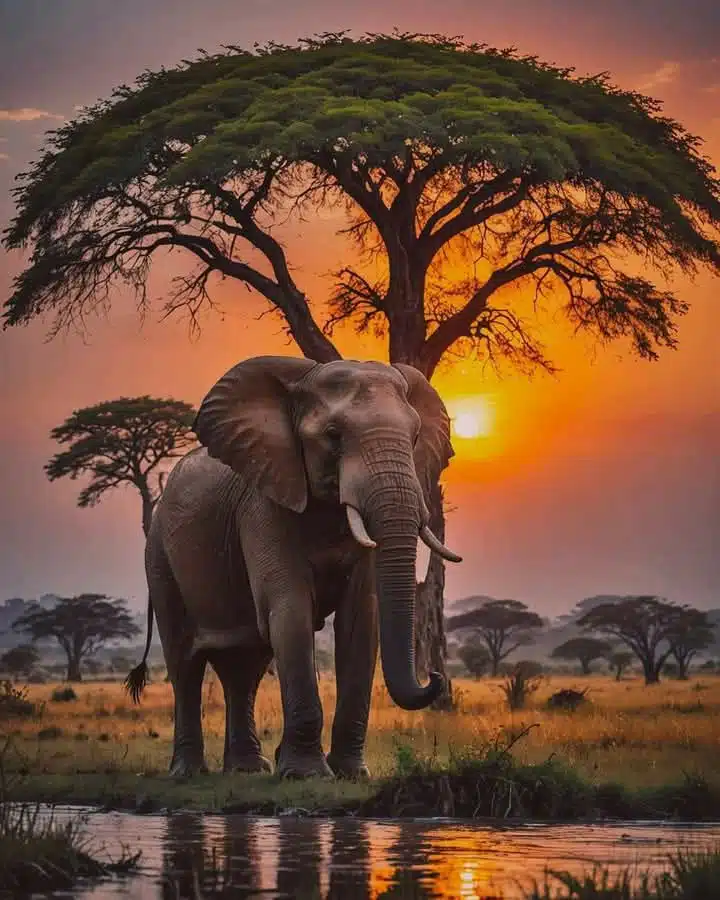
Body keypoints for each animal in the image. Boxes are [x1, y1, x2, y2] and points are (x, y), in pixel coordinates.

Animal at [125, 355, 462, 779]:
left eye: (415, 435)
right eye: (333, 435)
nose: (434, 676)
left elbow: (361, 619)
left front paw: (350, 774)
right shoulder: (262, 505)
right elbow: (290, 611)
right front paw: (307, 774)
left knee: (245, 667)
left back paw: (248, 770)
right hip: (159, 558)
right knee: (185, 664)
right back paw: (189, 773)